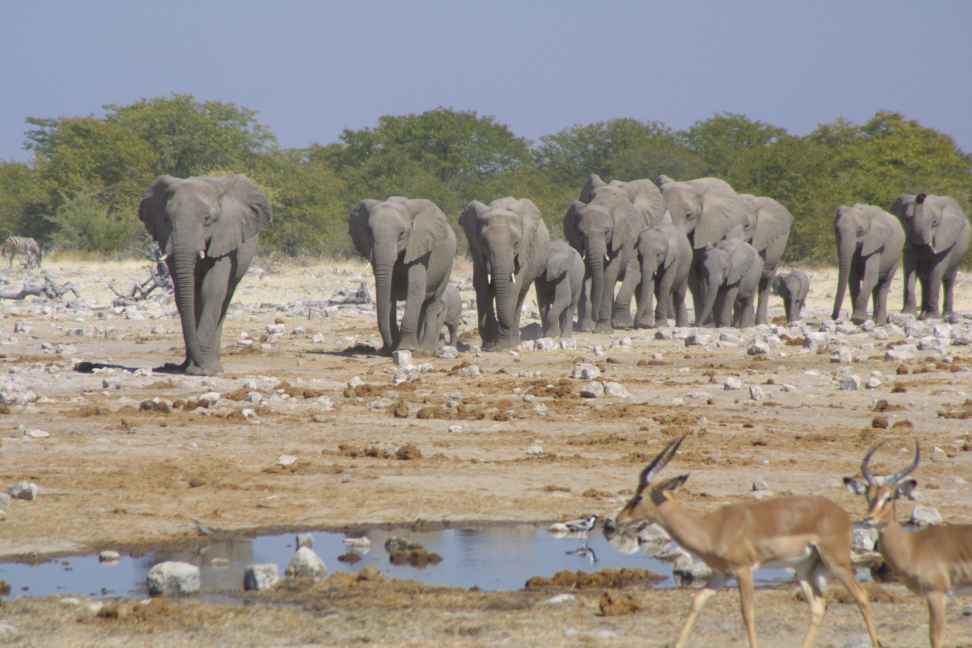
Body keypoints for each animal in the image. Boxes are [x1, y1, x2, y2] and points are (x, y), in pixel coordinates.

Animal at [139, 175, 272, 378]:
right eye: (167, 219)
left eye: (207, 219)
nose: (166, 365)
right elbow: (183, 294)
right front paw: (192, 368)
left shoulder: (225, 237)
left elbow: (212, 289)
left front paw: (202, 371)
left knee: (224, 298)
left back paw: (212, 366)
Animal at [350, 196, 456, 354]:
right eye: (369, 232)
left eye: (402, 234)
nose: (386, 349)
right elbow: (389, 293)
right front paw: (393, 349)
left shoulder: (419, 248)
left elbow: (415, 288)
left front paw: (406, 348)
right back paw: (418, 346)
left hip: (448, 266)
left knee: (432, 303)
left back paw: (425, 350)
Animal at [462, 196, 552, 350]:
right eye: (484, 243)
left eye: (516, 243)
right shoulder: (477, 252)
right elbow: (481, 285)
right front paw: (489, 344)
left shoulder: (524, 250)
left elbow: (513, 288)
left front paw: (502, 345)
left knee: (520, 294)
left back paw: (513, 342)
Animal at [892, 194, 968, 322]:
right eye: (907, 218)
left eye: (934, 223)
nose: (922, 195)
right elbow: (909, 270)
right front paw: (907, 314)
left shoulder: (945, 240)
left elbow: (936, 271)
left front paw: (932, 317)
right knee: (924, 280)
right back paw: (922, 315)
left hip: (958, 253)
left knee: (948, 280)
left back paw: (946, 315)